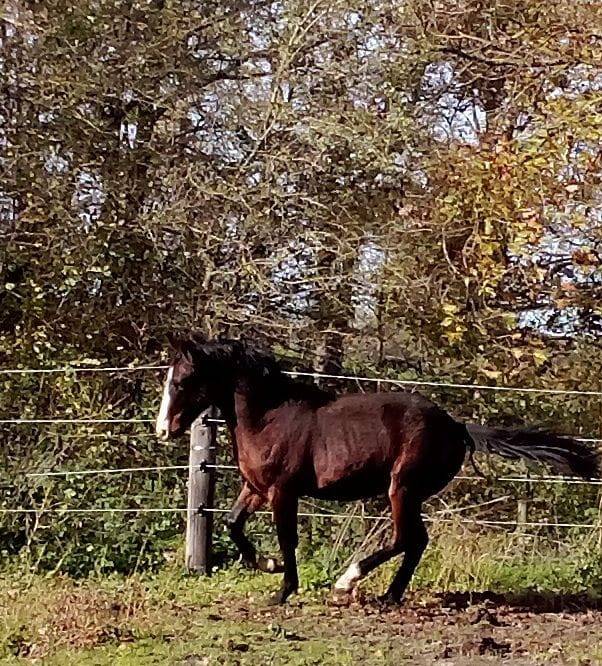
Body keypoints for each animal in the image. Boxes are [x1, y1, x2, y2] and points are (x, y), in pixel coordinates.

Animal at [155, 334, 600, 605]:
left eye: (183, 381)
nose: (163, 429)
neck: (270, 417)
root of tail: (456, 427)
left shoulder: (283, 491)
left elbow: (287, 538)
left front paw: (283, 590)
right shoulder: (256, 488)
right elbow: (233, 524)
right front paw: (269, 566)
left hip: (402, 488)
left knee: (408, 538)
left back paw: (349, 581)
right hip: (408, 493)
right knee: (416, 542)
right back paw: (389, 594)